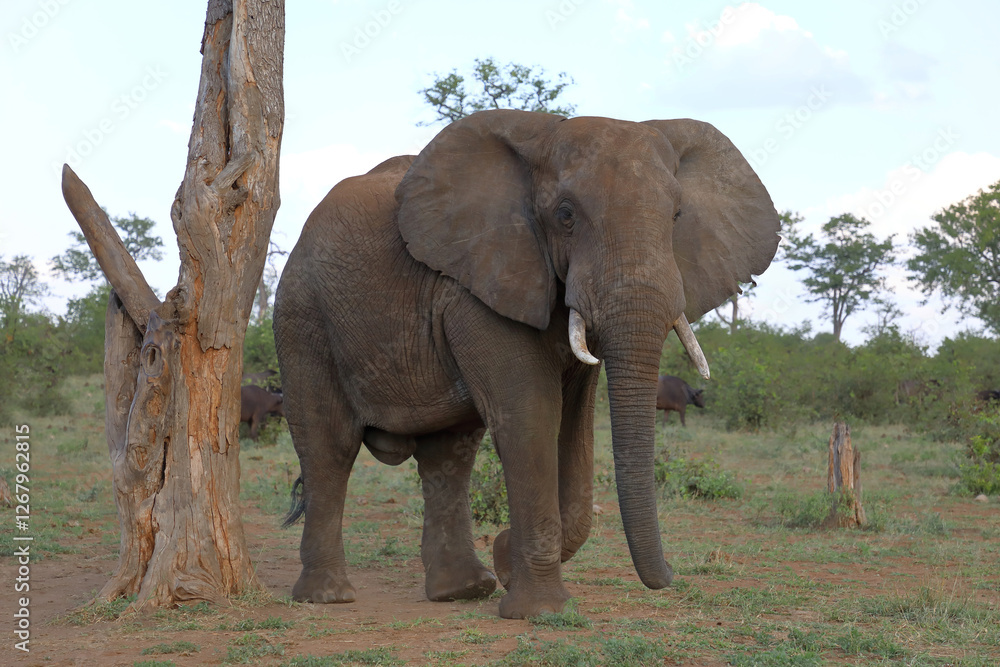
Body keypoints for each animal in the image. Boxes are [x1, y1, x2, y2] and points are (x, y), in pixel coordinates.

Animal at [274, 109, 780, 619]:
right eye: (565, 215)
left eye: (676, 216)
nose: (672, 575)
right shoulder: (482, 284)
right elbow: (531, 417)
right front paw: (539, 610)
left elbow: (575, 426)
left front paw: (506, 563)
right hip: (303, 314)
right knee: (329, 445)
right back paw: (328, 596)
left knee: (449, 454)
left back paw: (464, 590)